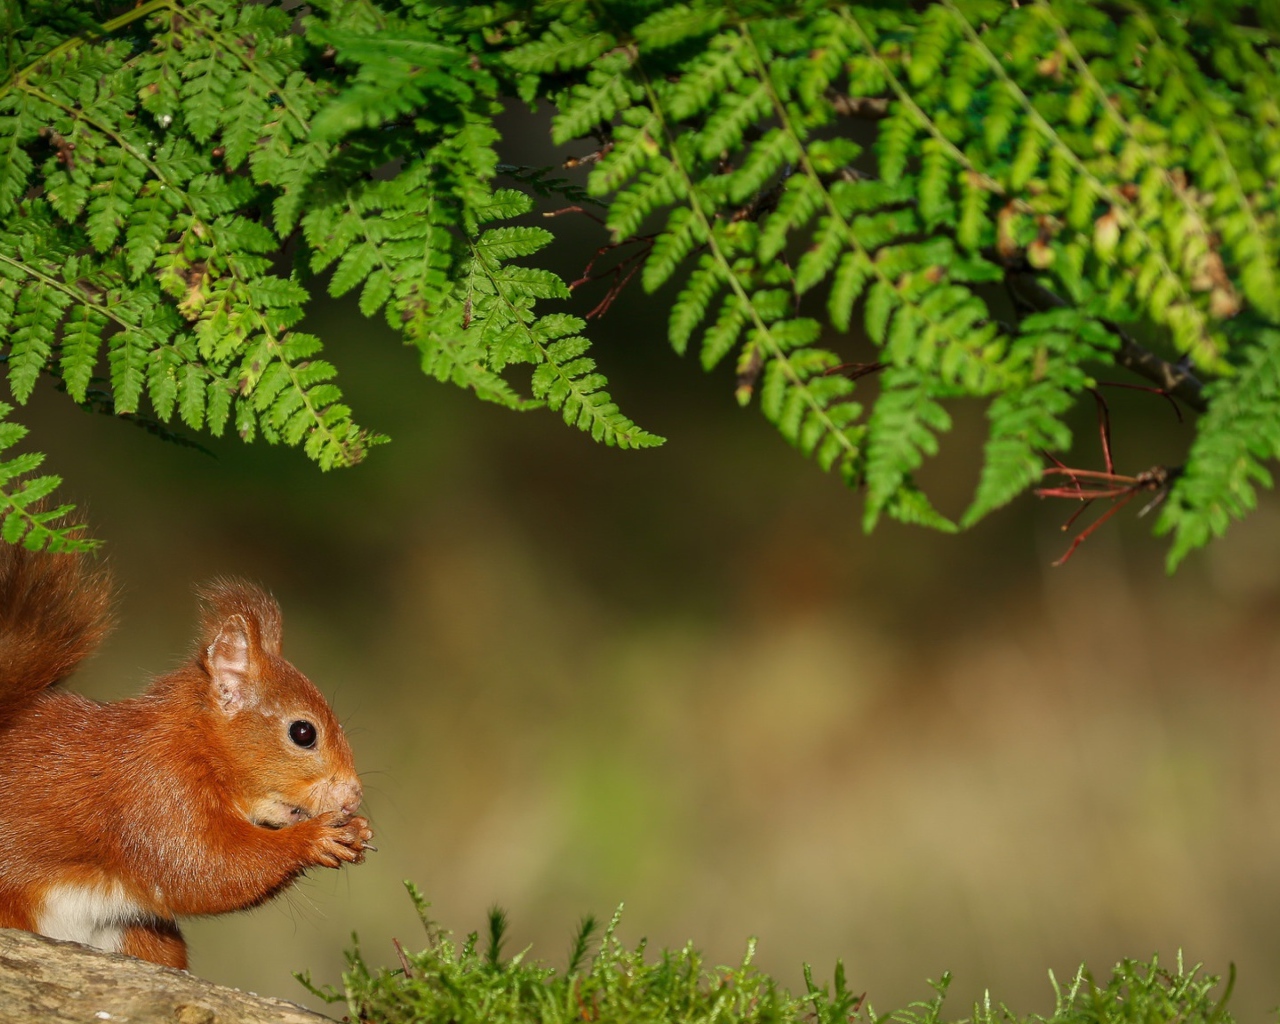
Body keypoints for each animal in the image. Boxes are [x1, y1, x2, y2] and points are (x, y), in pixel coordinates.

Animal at [0, 540, 373, 972]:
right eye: (303, 733)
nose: (353, 797)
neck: (198, 744)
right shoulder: (157, 793)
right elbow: (203, 868)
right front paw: (315, 838)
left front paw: (358, 829)